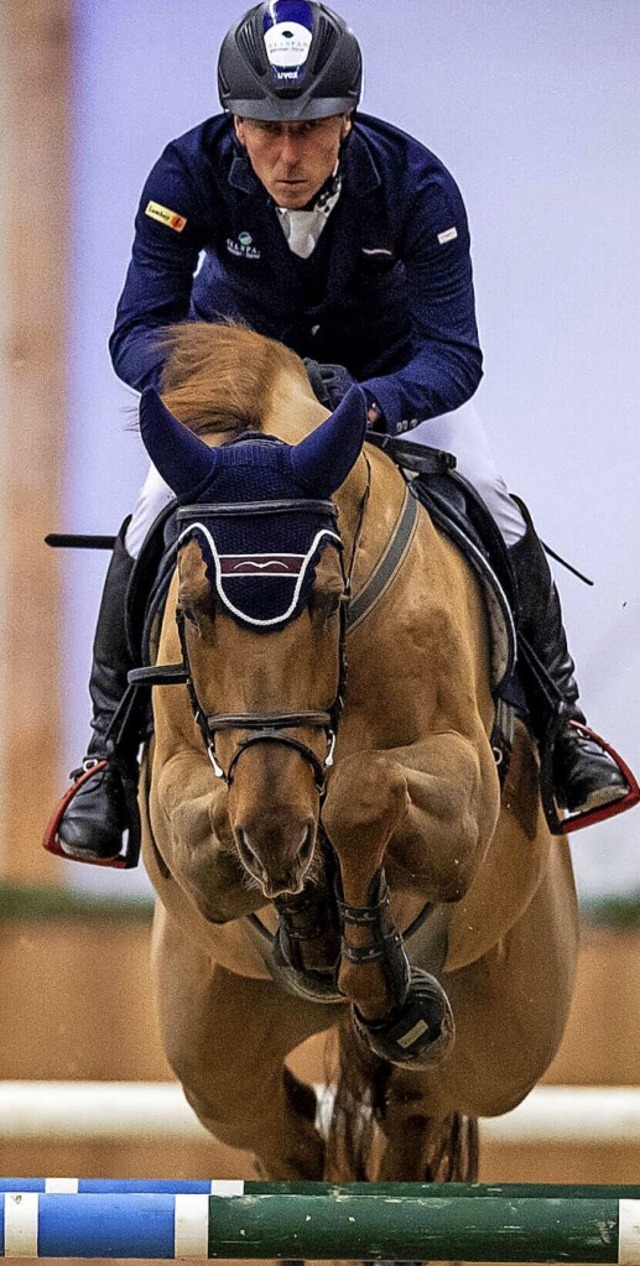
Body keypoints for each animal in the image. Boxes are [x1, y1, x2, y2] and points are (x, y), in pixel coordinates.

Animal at [135, 319, 579, 1184]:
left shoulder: (465, 797)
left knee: (418, 1110)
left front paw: (358, 945)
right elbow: (236, 826)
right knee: (284, 1133)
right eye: (195, 608)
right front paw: (305, 899)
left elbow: (360, 793)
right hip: (208, 1045)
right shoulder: (184, 809)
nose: (277, 831)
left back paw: (403, 1023)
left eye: (331, 596)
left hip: (507, 1031)